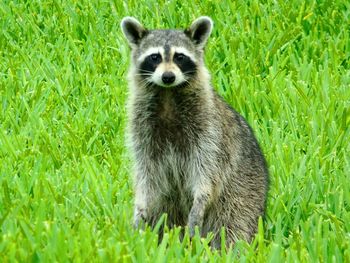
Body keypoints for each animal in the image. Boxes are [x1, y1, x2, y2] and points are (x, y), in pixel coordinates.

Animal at [119, 16, 268, 248]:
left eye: (180, 57)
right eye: (155, 57)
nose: (168, 76)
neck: (168, 94)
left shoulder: (210, 130)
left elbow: (207, 173)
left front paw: (200, 203)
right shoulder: (142, 130)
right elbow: (147, 174)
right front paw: (140, 208)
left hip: (244, 194)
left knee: (232, 226)